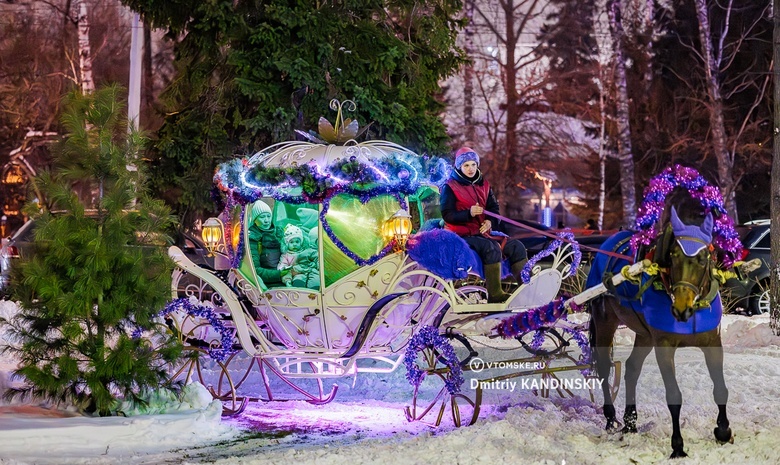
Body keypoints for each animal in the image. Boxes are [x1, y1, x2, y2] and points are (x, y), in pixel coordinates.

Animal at [588, 191, 736, 456]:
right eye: (673, 255)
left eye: (703, 258)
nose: (681, 309)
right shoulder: (664, 345)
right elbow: (674, 395)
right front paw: (678, 446)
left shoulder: (712, 342)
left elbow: (720, 388)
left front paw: (723, 431)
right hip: (604, 320)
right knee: (604, 368)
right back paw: (611, 418)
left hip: (645, 334)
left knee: (632, 368)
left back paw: (630, 421)